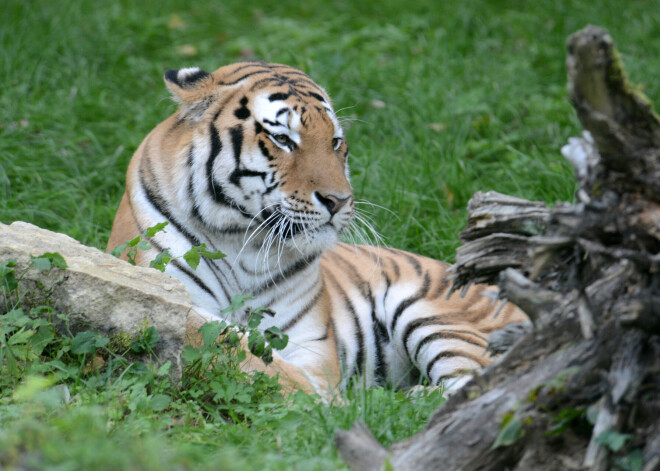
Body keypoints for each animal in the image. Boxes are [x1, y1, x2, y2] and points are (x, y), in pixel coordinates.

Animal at [108, 60, 532, 398]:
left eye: (335, 141)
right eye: (282, 139)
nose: (338, 200)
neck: (240, 238)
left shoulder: (309, 340)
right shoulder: (164, 289)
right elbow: (223, 341)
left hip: (434, 314)